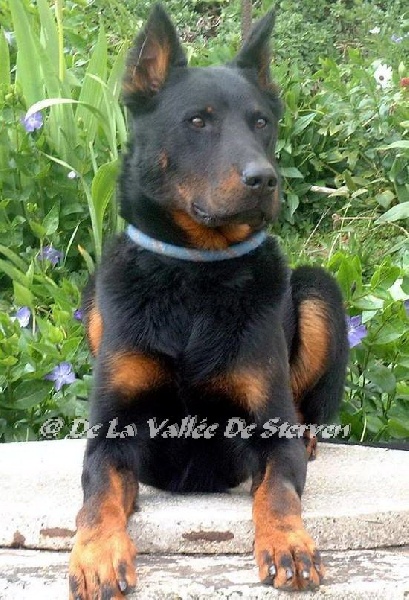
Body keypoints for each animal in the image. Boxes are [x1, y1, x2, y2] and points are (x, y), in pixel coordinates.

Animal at [68, 5, 348, 598]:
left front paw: (288, 543)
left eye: (261, 123)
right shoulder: (112, 437)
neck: (194, 276)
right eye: (198, 121)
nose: (263, 180)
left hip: (318, 290)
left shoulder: (268, 435)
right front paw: (98, 553)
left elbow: (277, 491)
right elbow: (98, 498)